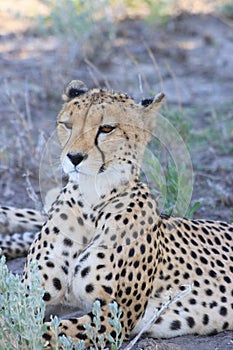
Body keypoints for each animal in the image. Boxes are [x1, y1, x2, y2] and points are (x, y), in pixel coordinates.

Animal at [0, 81, 233, 348]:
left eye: (106, 128)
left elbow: (43, 331)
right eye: (67, 125)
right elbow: (13, 317)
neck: (91, 205)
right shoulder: (32, 295)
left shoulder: (113, 316)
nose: (74, 157)